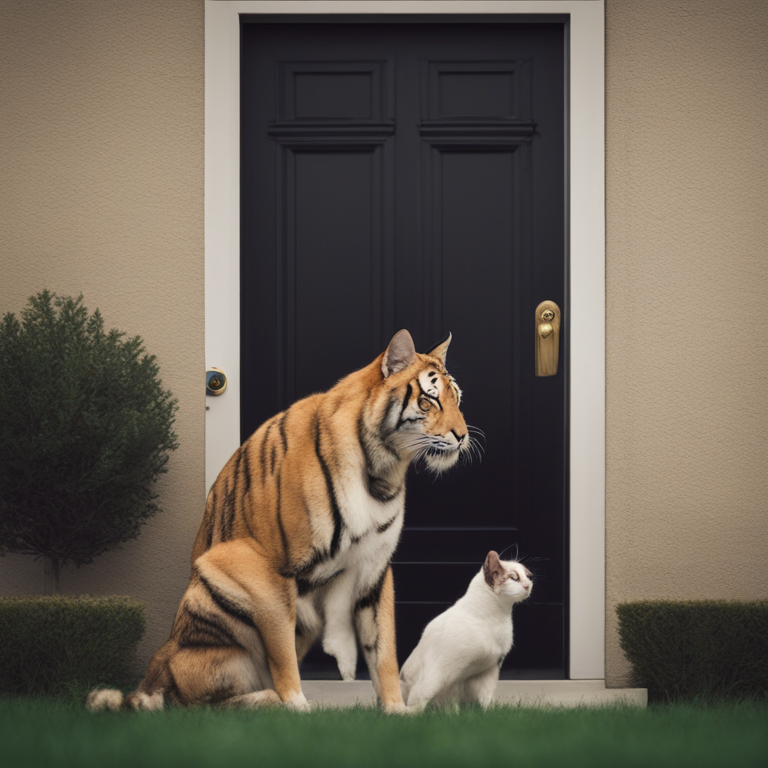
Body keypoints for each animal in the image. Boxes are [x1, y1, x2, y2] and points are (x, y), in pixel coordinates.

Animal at [84, 330, 468, 712]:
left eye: (458, 398)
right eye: (429, 400)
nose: (463, 436)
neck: (381, 471)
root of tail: (155, 668)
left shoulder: (374, 570)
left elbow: (384, 651)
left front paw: (396, 711)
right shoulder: (265, 567)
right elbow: (282, 654)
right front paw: (298, 708)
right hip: (213, 582)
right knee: (197, 705)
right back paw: (269, 701)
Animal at [400, 552, 532, 708]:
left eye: (527, 576)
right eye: (514, 577)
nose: (528, 584)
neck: (498, 618)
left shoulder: (489, 670)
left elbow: (483, 701)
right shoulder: (440, 670)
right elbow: (417, 699)